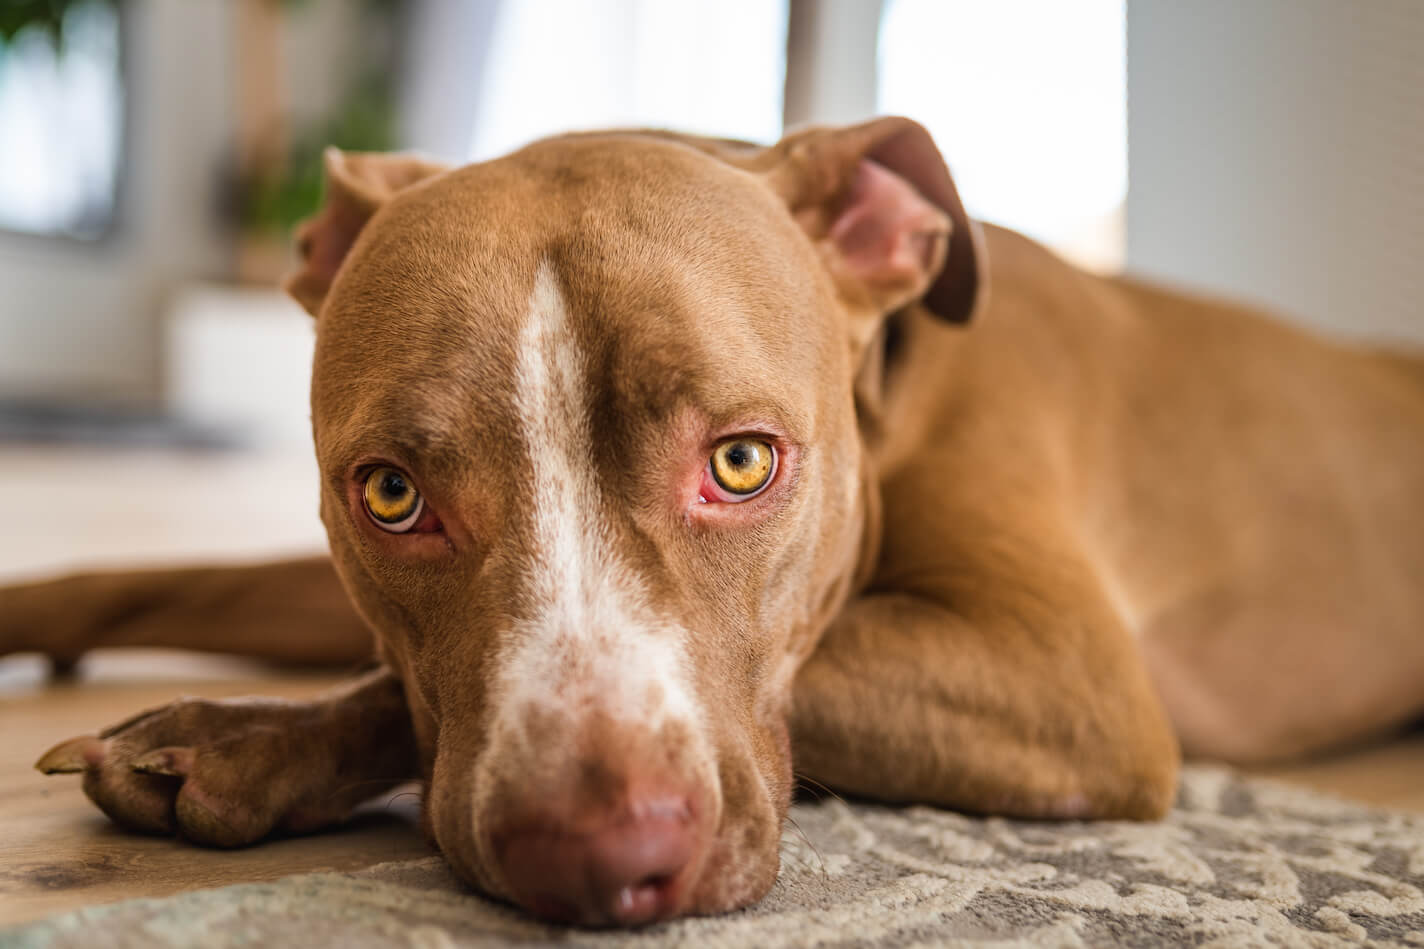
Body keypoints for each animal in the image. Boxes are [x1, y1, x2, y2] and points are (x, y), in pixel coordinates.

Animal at [11, 118, 1424, 923]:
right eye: (392, 495)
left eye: (741, 463)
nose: (593, 855)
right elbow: (187, 581)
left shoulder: (1064, 675)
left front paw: (237, 740)